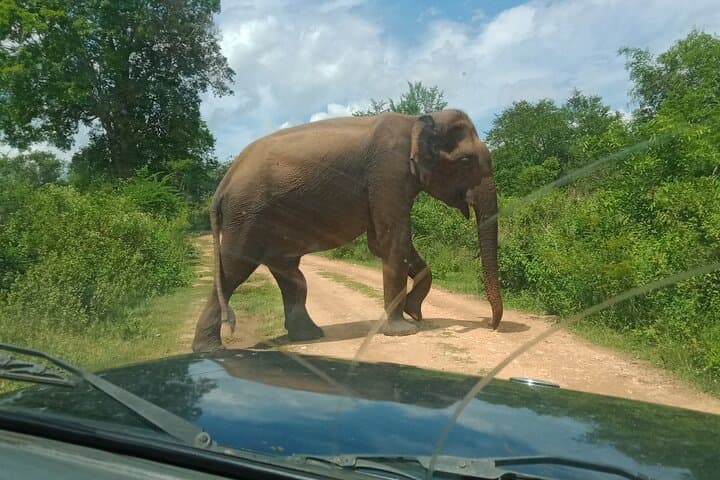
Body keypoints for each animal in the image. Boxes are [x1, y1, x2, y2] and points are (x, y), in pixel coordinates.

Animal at [191, 109, 503, 352]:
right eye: (466, 162)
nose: (490, 325)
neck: (418, 120)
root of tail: (224, 182)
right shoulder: (388, 173)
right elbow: (392, 240)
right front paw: (404, 329)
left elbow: (380, 243)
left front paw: (414, 312)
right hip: (247, 215)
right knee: (235, 269)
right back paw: (209, 349)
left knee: (292, 276)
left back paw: (308, 336)